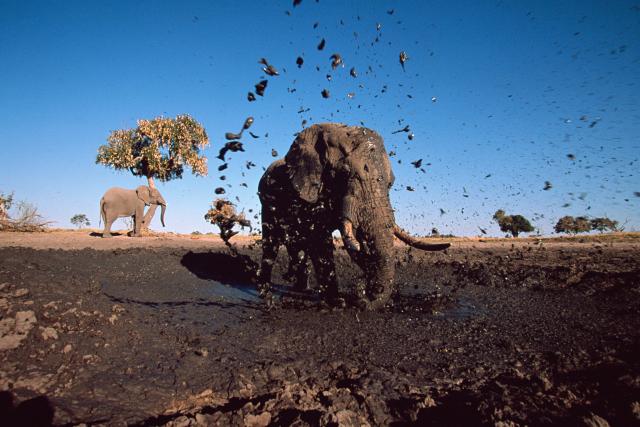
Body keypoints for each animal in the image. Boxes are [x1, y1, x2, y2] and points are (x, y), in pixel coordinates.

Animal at [257, 123, 450, 309]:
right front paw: (337, 302)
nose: (363, 294)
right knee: (271, 244)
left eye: (391, 183)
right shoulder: (309, 195)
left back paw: (302, 289)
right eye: (343, 173)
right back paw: (266, 295)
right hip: (267, 205)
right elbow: (320, 242)